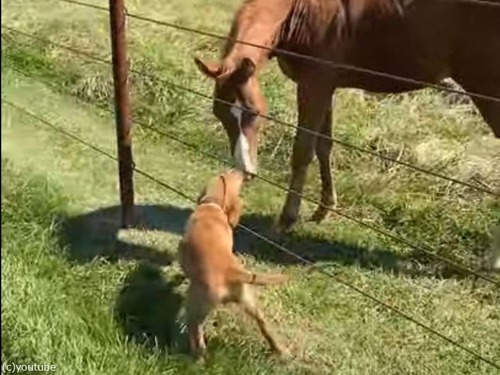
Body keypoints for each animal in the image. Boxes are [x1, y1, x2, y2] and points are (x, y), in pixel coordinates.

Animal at [179, 170, 290, 358]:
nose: (242, 173)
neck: (213, 206)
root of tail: (230, 271)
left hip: (196, 303)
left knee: (195, 330)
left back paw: (197, 355)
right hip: (249, 300)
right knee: (263, 323)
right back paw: (280, 350)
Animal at [194, 0, 500, 234]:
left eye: (254, 112)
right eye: (219, 113)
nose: (245, 170)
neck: (300, 11)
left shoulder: (313, 85)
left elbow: (303, 150)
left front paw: (287, 220)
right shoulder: (325, 86)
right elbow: (323, 145)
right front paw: (324, 210)